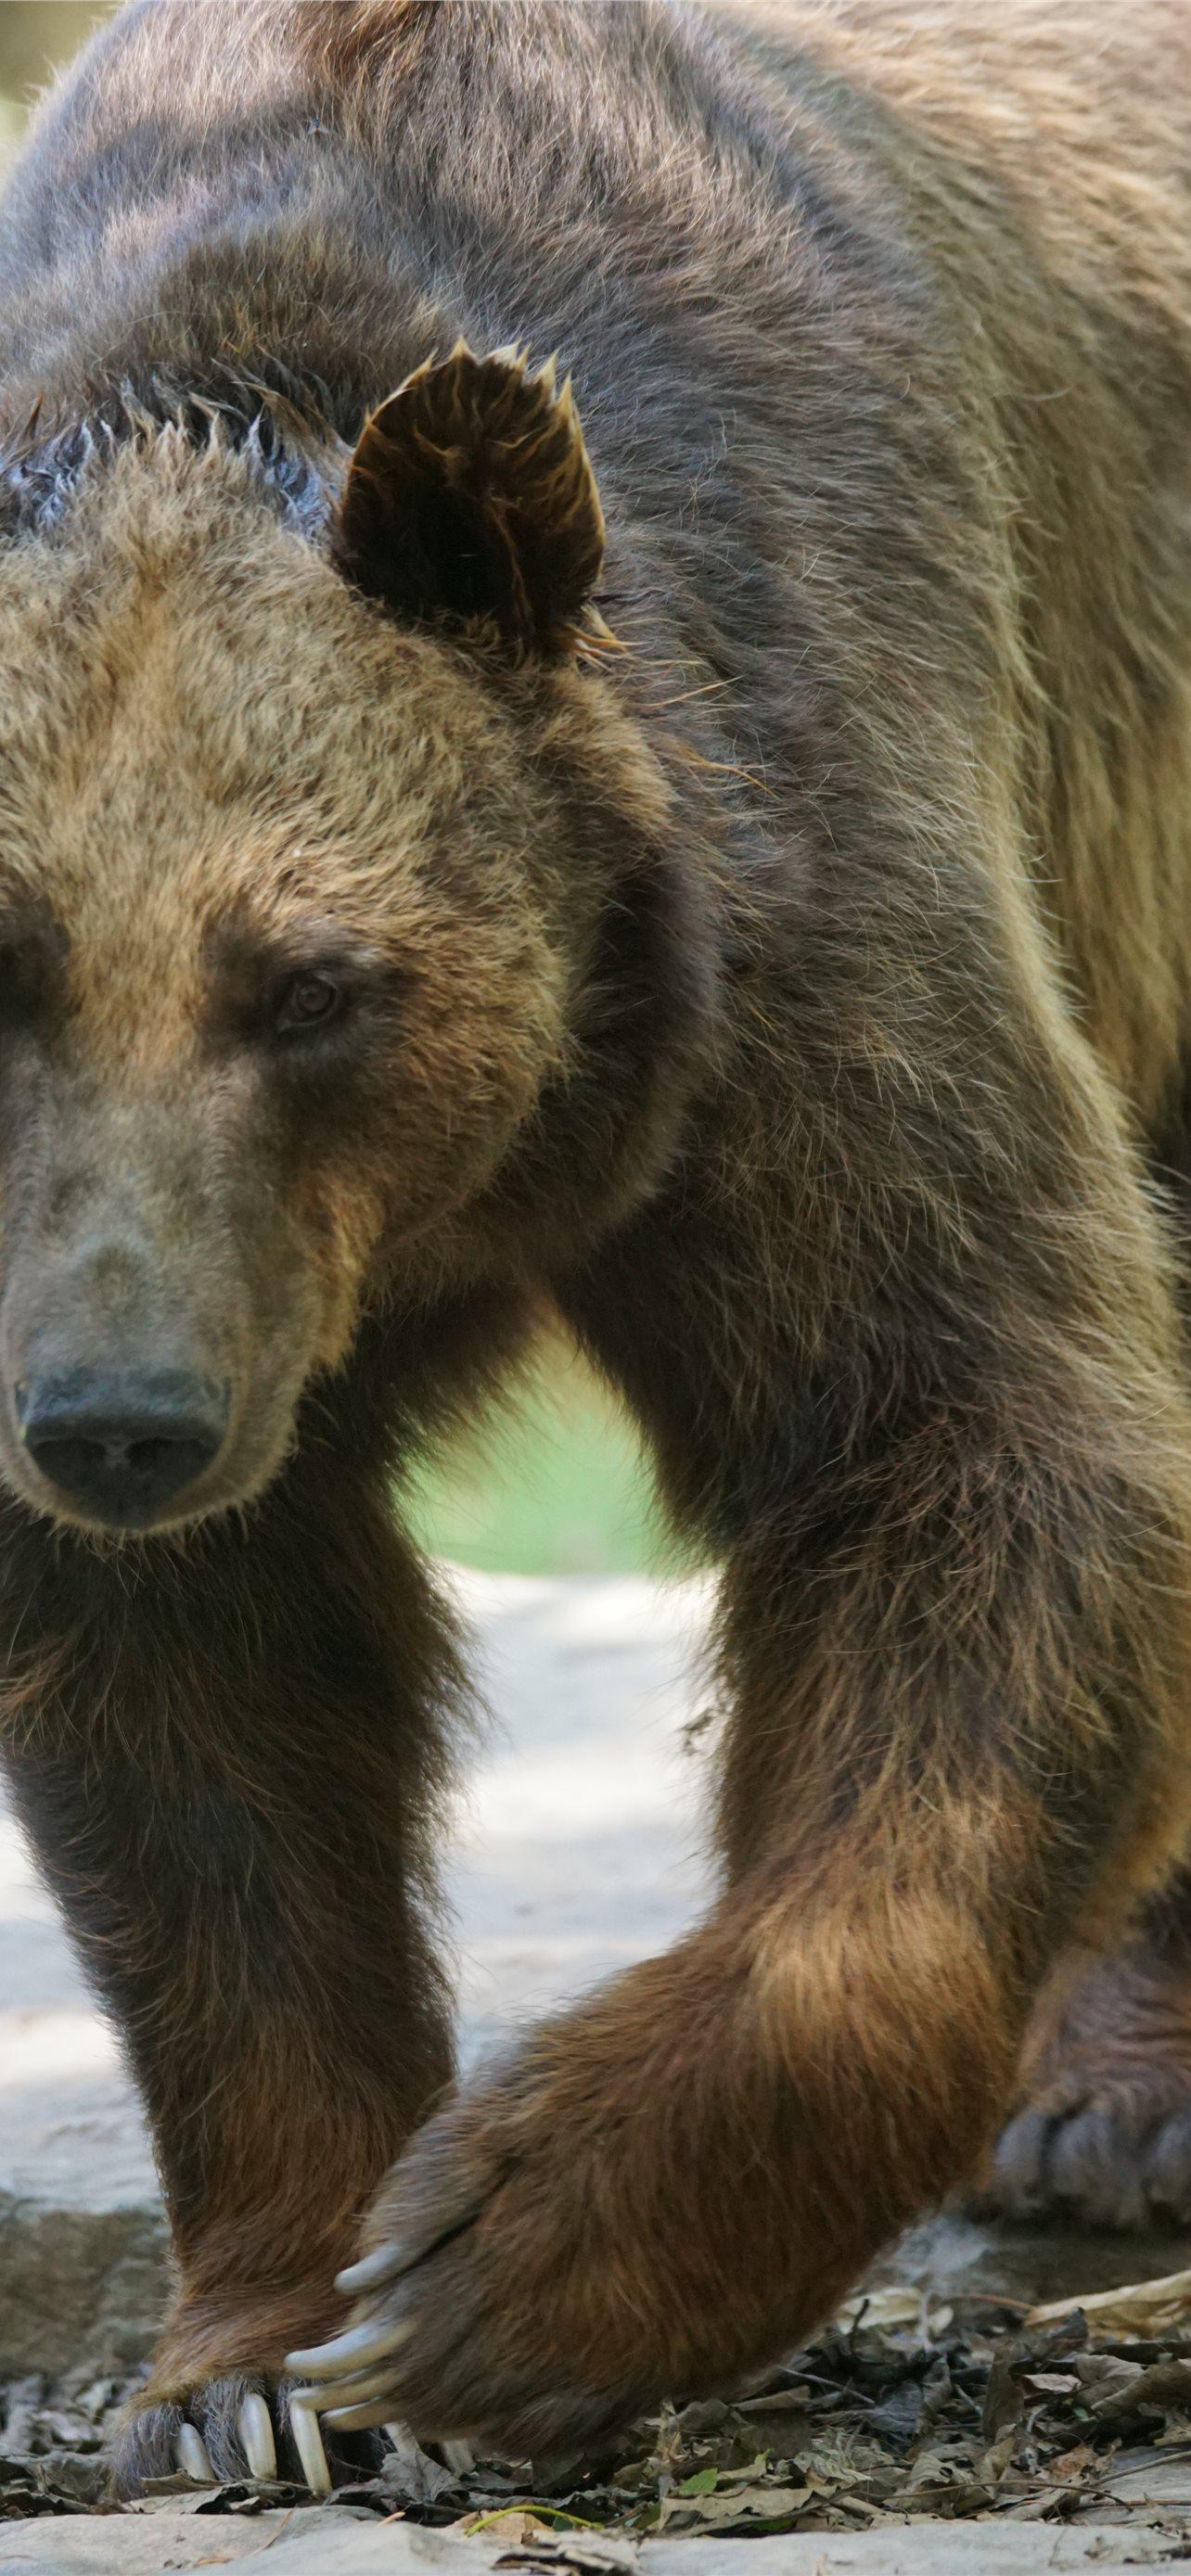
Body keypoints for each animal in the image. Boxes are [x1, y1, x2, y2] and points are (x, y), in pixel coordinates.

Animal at [1, 0, 1191, 2502]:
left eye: (310, 982)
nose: (119, 1419)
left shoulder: (800, 893)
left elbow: (972, 1430)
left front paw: (498, 2262)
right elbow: (209, 1724)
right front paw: (262, 2356)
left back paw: (1108, 2106)